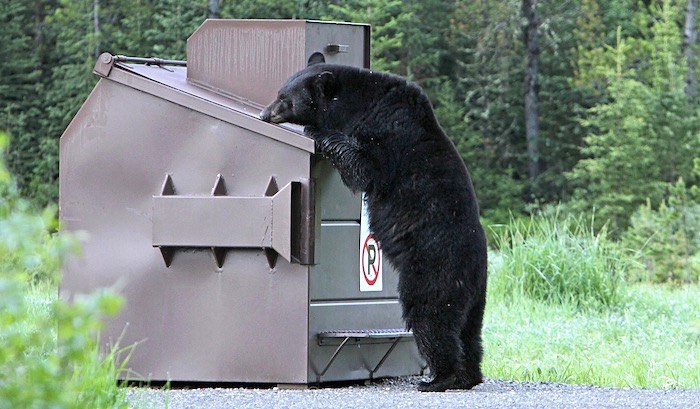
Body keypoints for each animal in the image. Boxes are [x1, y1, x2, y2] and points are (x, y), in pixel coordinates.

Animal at [262, 52, 486, 390]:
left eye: (285, 99)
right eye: (279, 92)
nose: (264, 114)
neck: (362, 103)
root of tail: (474, 268)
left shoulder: (388, 134)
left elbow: (364, 169)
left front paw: (318, 132)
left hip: (434, 269)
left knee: (432, 316)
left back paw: (440, 378)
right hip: (476, 296)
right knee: (470, 331)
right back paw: (469, 375)